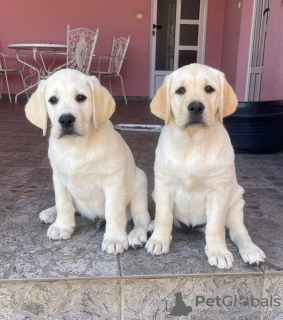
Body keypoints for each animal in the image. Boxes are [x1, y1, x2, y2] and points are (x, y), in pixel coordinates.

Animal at [25, 69, 152, 254]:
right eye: (53, 100)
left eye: (81, 97)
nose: (66, 120)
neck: (76, 146)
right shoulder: (59, 178)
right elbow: (63, 203)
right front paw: (62, 226)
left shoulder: (113, 182)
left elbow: (114, 211)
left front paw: (114, 238)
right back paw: (50, 213)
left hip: (140, 184)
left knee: (141, 216)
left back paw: (136, 235)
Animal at [146, 63, 266, 268]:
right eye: (180, 90)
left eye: (209, 89)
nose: (196, 106)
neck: (192, 142)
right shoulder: (163, 185)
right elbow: (164, 216)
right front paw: (158, 240)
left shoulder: (219, 191)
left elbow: (215, 226)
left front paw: (218, 252)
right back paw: (153, 227)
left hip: (236, 204)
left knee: (239, 232)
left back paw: (251, 251)